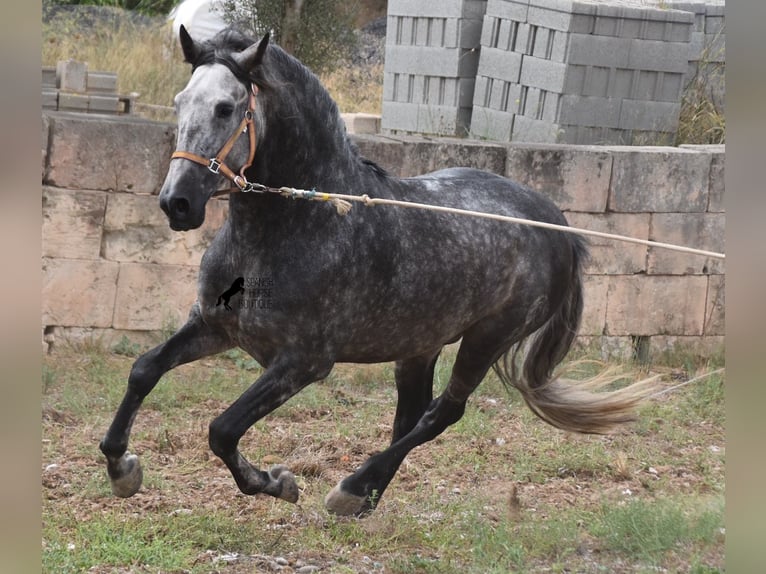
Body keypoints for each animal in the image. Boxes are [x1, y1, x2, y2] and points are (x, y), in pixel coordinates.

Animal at [99, 27, 644, 516]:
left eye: (226, 108)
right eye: (179, 102)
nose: (177, 203)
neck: (297, 227)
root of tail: (557, 224)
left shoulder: (303, 362)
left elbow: (223, 429)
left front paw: (277, 483)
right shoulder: (215, 326)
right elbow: (144, 369)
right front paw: (122, 468)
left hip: (487, 337)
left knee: (443, 412)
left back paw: (352, 489)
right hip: (420, 344)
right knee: (412, 414)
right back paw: (366, 497)